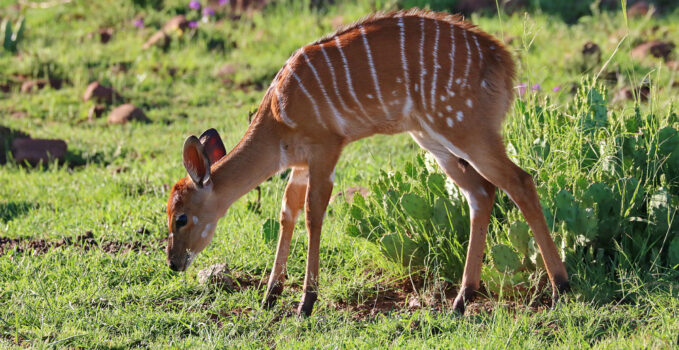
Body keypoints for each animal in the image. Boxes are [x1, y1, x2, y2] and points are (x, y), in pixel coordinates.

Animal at [165, 10, 568, 318]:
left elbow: (313, 214)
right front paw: (269, 296)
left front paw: (305, 303)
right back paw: (460, 300)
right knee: (480, 193)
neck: (278, 115)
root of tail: (504, 62)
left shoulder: (326, 149)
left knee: (520, 182)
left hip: (465, 129)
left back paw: (561, 287)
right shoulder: (299, 164)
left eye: (181, 217)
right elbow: (286, 211)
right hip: (432, 138)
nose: (173, 262)